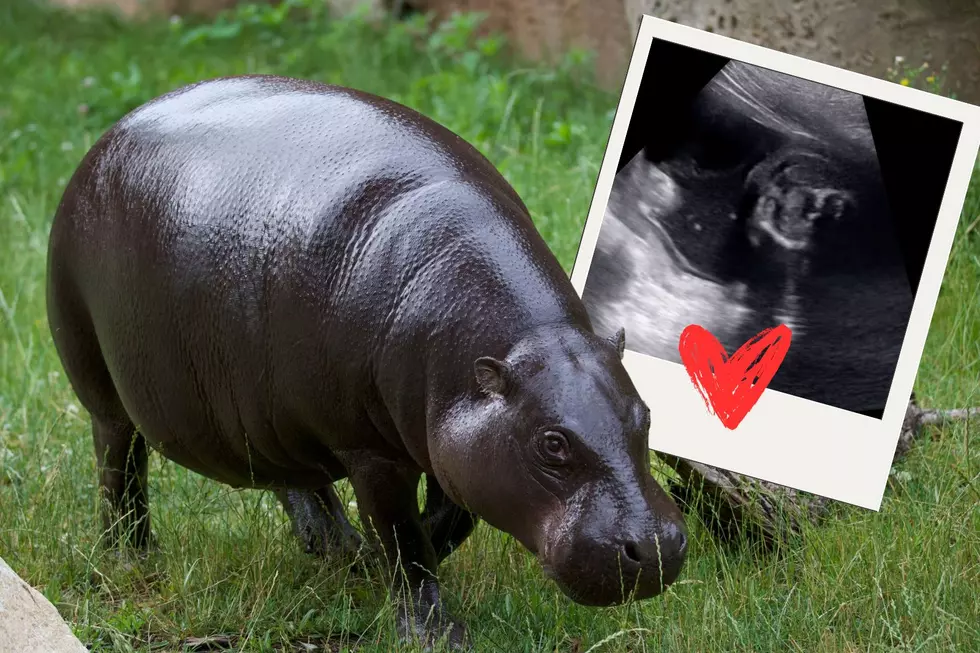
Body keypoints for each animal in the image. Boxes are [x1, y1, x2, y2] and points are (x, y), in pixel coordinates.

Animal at [46, 75, 688, 648]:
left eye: (647, 417)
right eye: (552, 443)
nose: (657, 546)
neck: (523, 340)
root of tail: (110, 134)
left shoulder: (450, 429)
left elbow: (450, 519)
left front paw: (377, 564)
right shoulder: (372, 448)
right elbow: (404, 536)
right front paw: (433, 632)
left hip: (266, 405)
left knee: (292, 477)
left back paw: (338, 549)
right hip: (101, 382)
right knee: (119, 465)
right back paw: (132, 559)